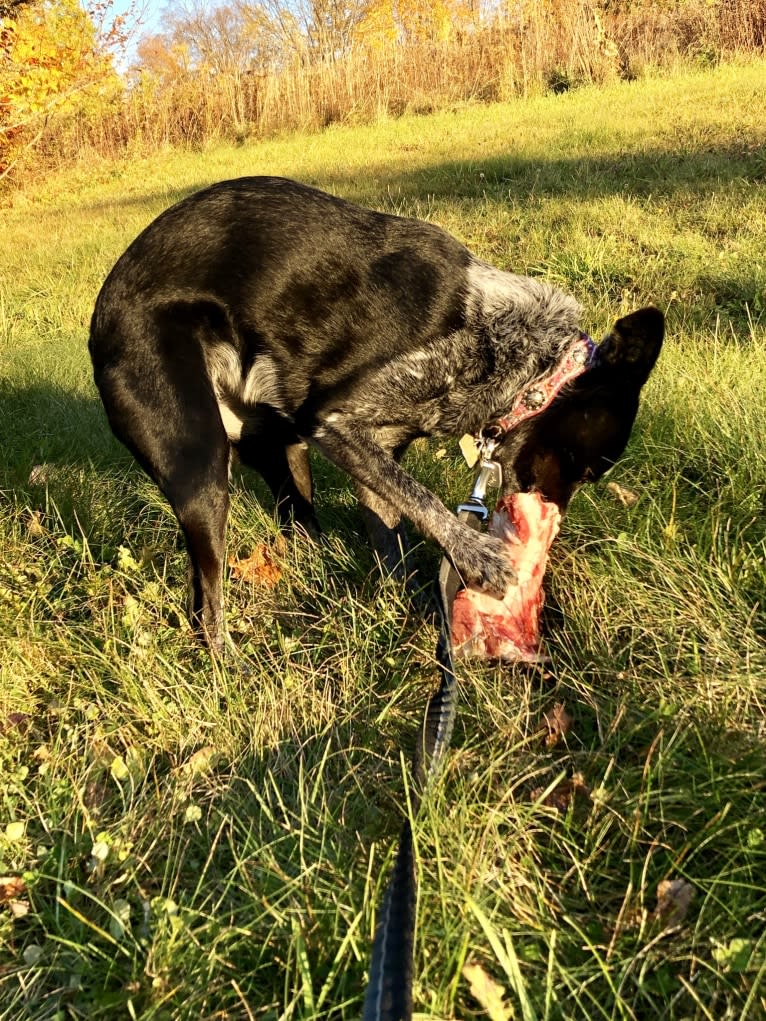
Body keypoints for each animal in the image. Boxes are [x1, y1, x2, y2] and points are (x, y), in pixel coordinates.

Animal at [89, 175, 665, 653]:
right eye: (581, 469)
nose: (548, 525)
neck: (514, 346)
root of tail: (100, 318)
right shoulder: (337, 424)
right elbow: (425, 503)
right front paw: (477, 557)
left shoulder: (374, 451)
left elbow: (393, 533)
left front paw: (413, 606)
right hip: (201, 467)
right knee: (206, 604)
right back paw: (231, 666)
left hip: (281, 451)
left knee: (298, 527)